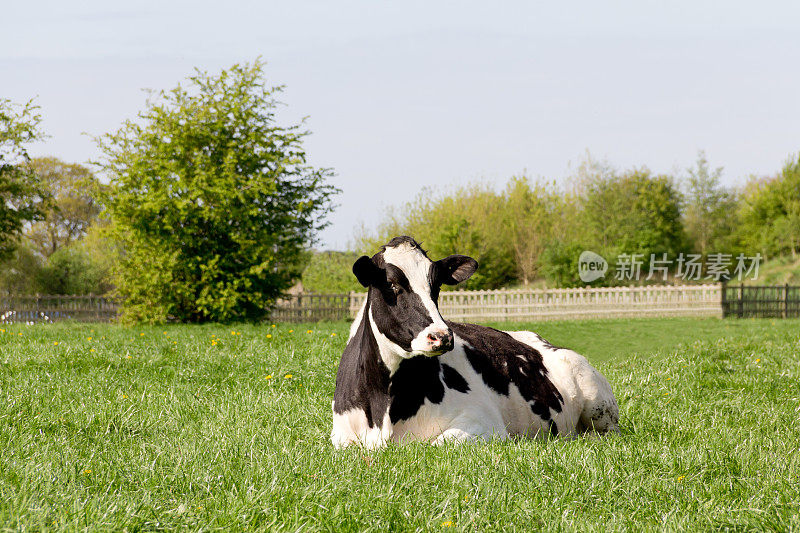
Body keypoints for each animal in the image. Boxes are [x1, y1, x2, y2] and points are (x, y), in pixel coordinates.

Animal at [332, 235, 620, 446]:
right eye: (392, 285)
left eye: (436, 286)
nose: (442, 336)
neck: (384, 405)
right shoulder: (340, 438)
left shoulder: (484, 422)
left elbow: (436, 444)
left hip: (599, 403)